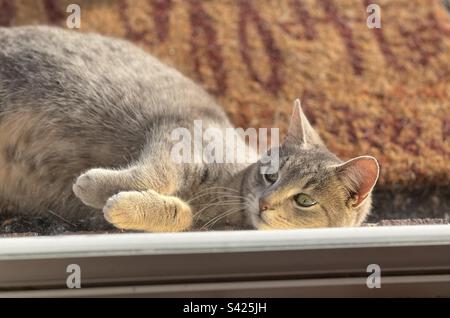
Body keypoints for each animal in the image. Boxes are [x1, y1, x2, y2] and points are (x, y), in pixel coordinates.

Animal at [0, 26, 380, 231]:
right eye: (270, 176)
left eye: (304, 200)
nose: (265, 202)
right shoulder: (179, 133)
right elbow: (158, 176)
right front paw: (93, 185)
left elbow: (178, 215)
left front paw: (122, 206)